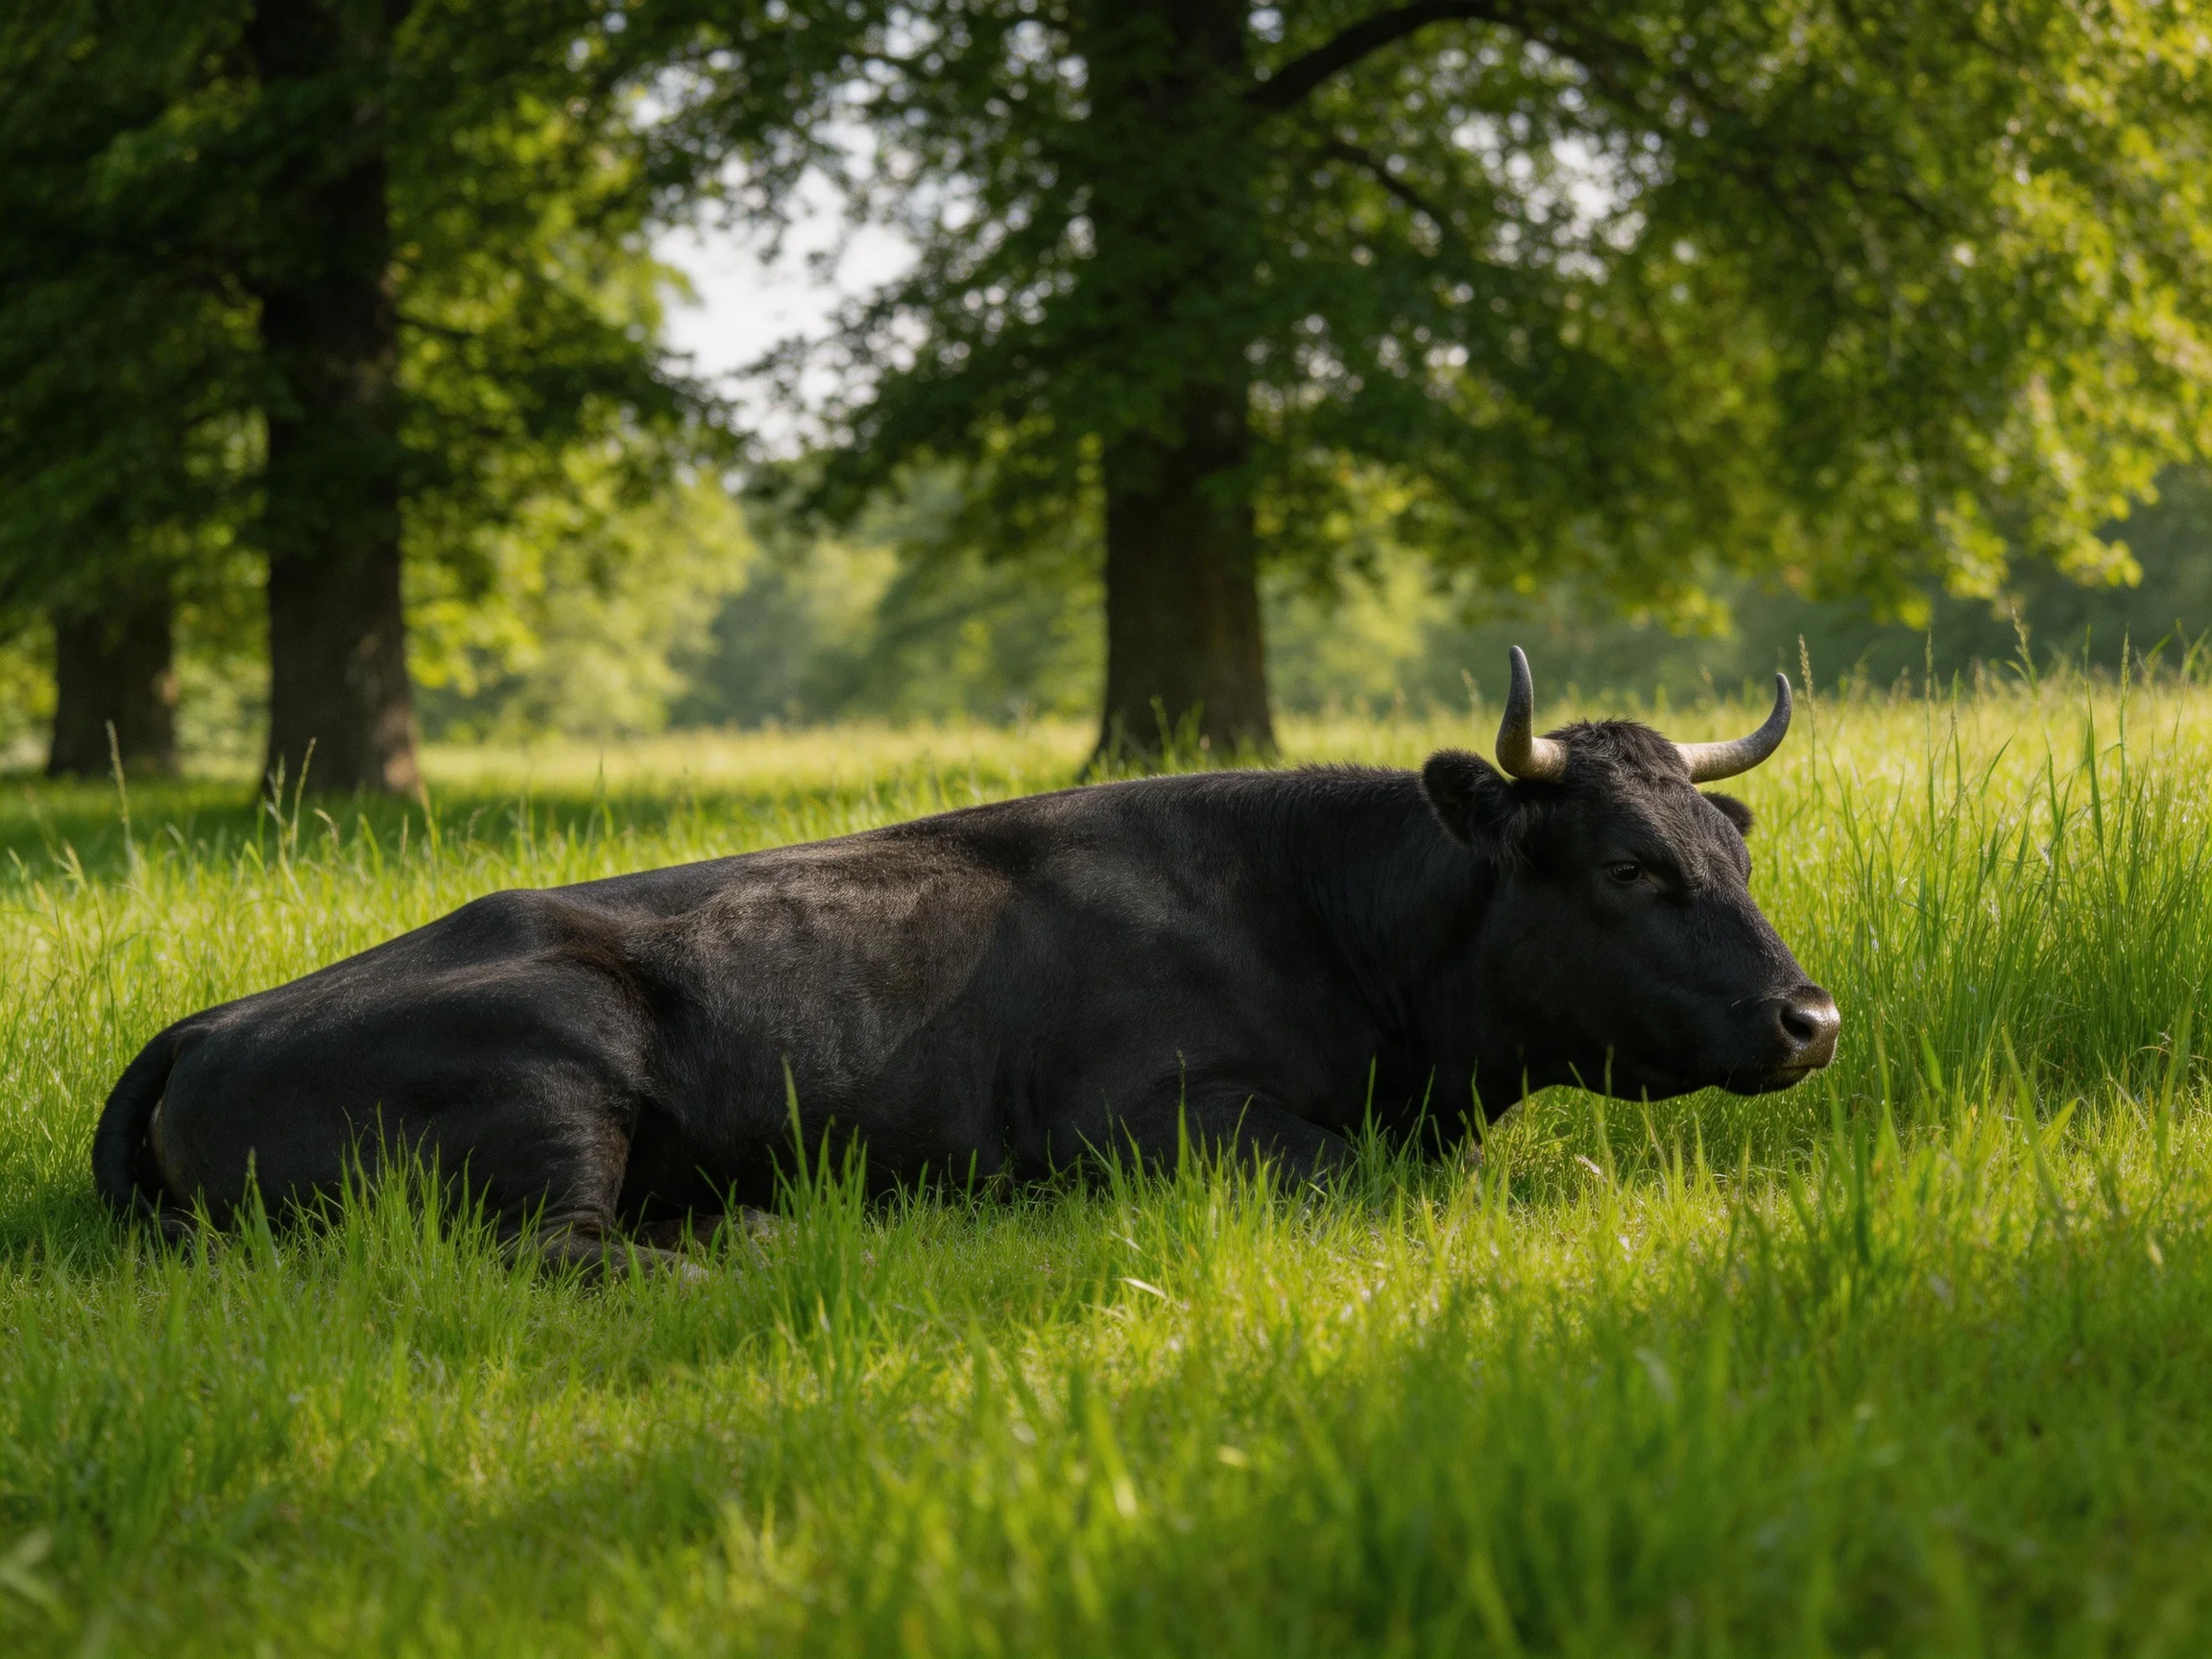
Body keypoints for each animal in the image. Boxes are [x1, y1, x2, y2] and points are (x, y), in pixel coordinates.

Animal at [93, 649, 1838, 1271]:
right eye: (1626, 866)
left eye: (1735, 850)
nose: (1809, 1013)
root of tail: (213, 1019)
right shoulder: (1156, 1120)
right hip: (545, 1076)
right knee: (543, 1252)